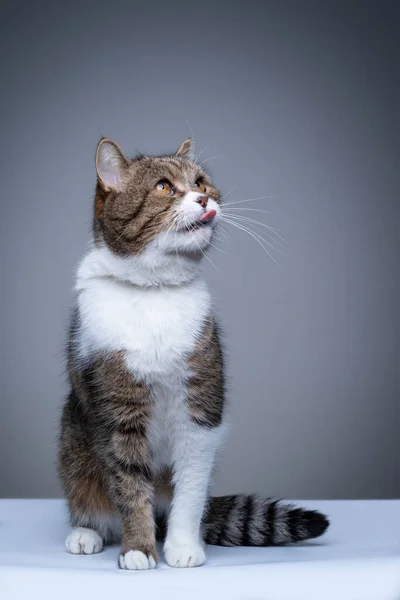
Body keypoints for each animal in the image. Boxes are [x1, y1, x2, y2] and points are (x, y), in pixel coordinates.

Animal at [58, 137, 328, 572]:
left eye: (201, 182)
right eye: (164, 187)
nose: (203, 198)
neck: (154, 291)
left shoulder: (201, 409)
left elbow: (189, 489)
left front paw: (183, 546)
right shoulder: (117, 414)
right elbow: (129, 486)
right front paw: (138, 549)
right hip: (73, 441)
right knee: (89, 497)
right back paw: (86, 532)